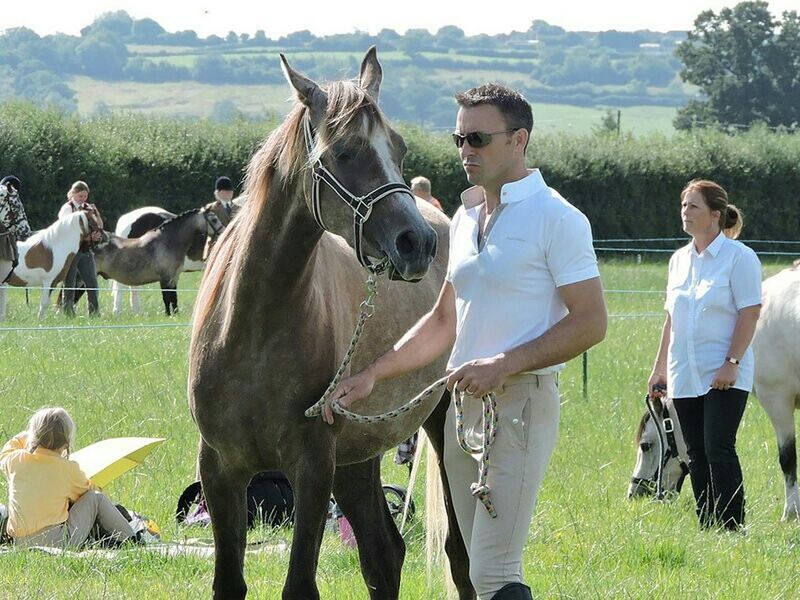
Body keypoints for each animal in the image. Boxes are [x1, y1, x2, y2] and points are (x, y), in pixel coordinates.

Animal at [188, 48, 476, 600]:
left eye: (399, 149)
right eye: (343, 152)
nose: (417, 243)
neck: (252, 329)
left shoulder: (313, 467)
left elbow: (300, 583)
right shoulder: (220, 470)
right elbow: (228, 582)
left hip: (439, 428)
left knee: (459, 554)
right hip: (357, 459)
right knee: (384, 555)